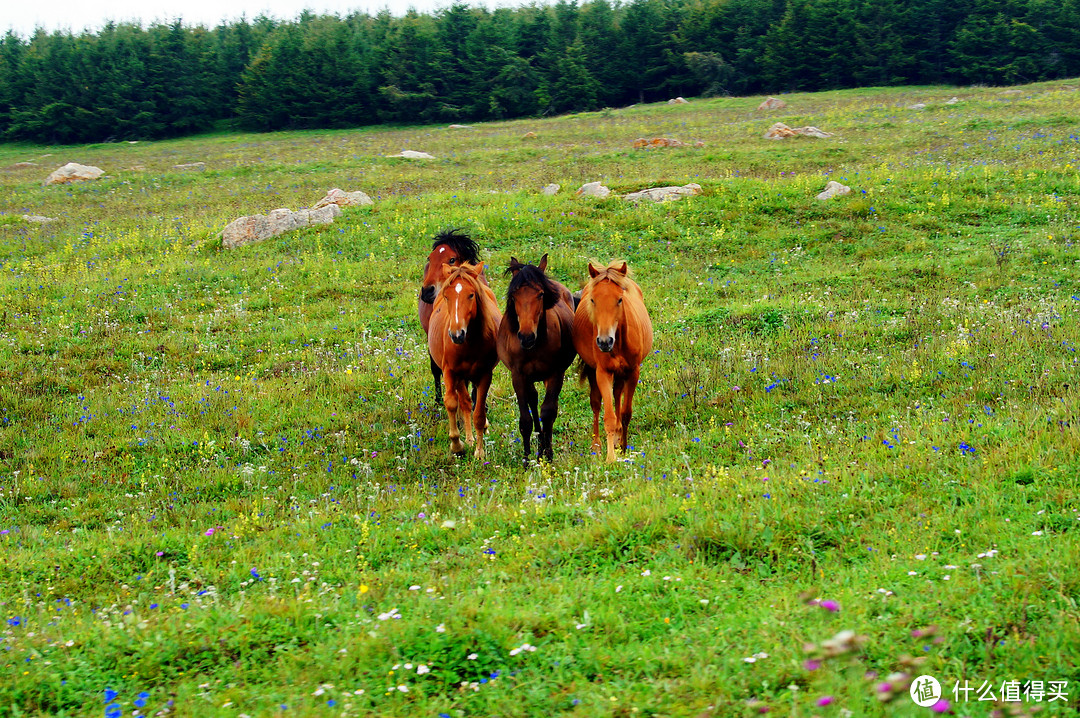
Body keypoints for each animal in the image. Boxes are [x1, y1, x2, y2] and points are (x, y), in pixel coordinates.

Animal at [425, 263, 501, 459]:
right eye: (447, 296)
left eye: (471, 294)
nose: (456, 334)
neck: (468, 344)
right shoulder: (451, 372)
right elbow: (453, 403)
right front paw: (457, 445)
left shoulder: (484, 375)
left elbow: (479, 413)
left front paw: (480, 452)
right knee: (465, 402)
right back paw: (468, 438)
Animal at [498, 254, 583, 462]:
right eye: (514, 296)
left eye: (541, 294)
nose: (526, 336)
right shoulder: (518, 375)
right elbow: (525, 420)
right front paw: (527, 458)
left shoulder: (555, 373)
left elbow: (549, 412)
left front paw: (548, 454)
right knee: (533, 400)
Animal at [574, 260, 648, 462]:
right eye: (593, 300)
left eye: (620, 299)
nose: (605, 341)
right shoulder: (603, 373)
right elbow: (608, 417)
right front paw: (610, 458)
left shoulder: (633, 372)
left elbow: (625, 412)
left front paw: (623, 447)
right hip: (594, 372)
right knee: (596, 403)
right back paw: (597, 446)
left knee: (618, 396)